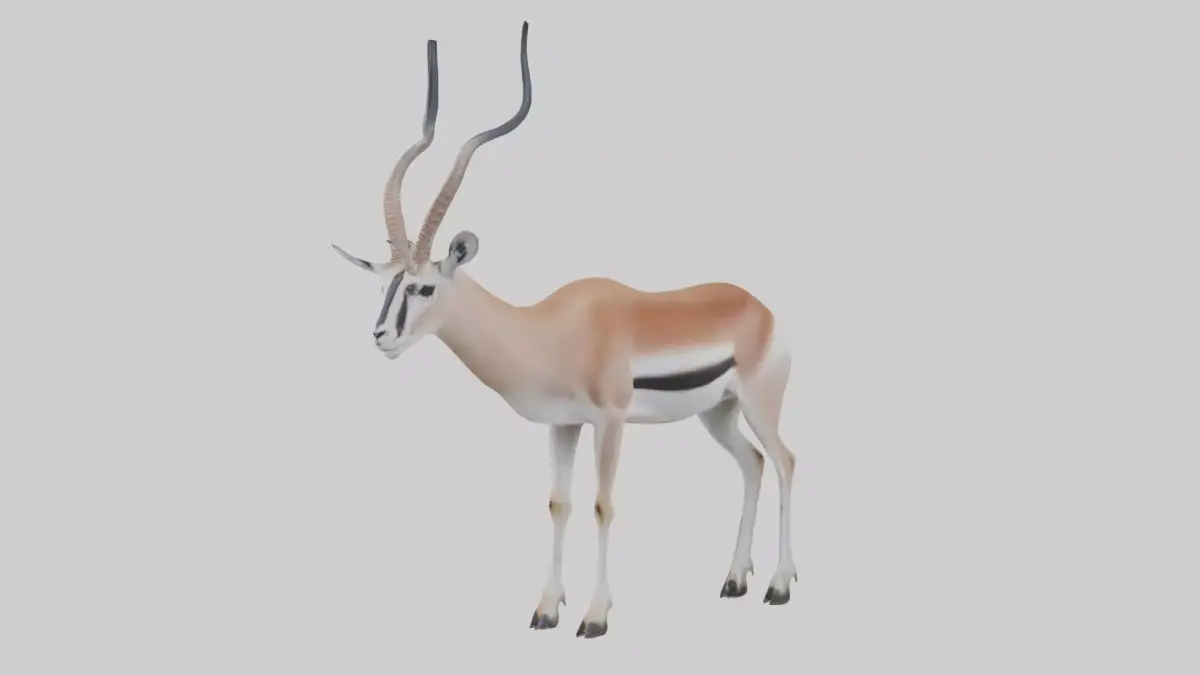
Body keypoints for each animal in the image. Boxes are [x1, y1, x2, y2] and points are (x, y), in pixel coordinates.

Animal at [332, 22, 798, 638]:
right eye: (385, 282)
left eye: (423, 287)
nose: (381, 337)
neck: (548, 332)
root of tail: (759, 308)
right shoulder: (562, 425)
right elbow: (558, 503)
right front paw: (547, 609)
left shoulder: (610, 422)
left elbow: (603, 504)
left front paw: (595, 617)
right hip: (717, 414)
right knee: (753, 465)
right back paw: (734, 581)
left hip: (758, 405)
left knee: (785, 462)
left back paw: (778, 587)